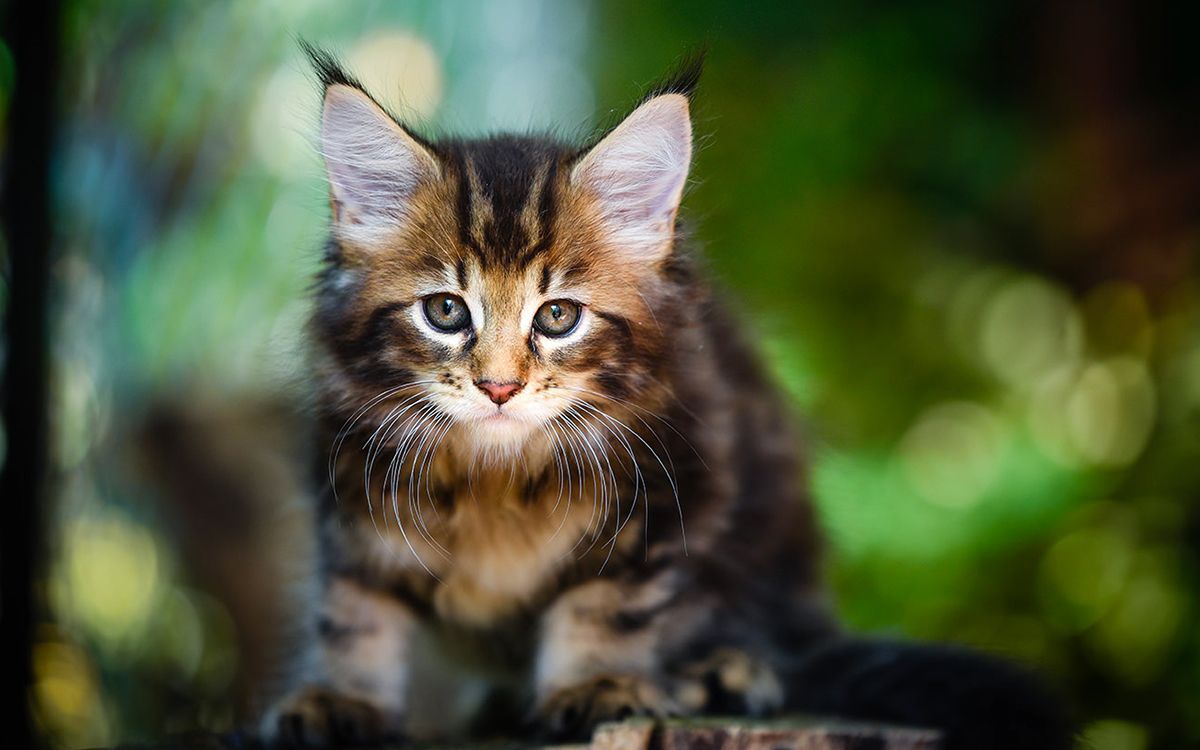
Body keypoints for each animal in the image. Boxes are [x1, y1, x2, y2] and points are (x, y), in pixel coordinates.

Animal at [258, 46, 1075, 748]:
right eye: (445, 311)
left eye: (558, 316)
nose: (499, 386)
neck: (499, 471)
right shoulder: (350, 490)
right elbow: (350, 613)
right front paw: (340, 696)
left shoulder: (673, 481)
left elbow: (607, 602)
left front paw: (597, 684)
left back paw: (721, 672)